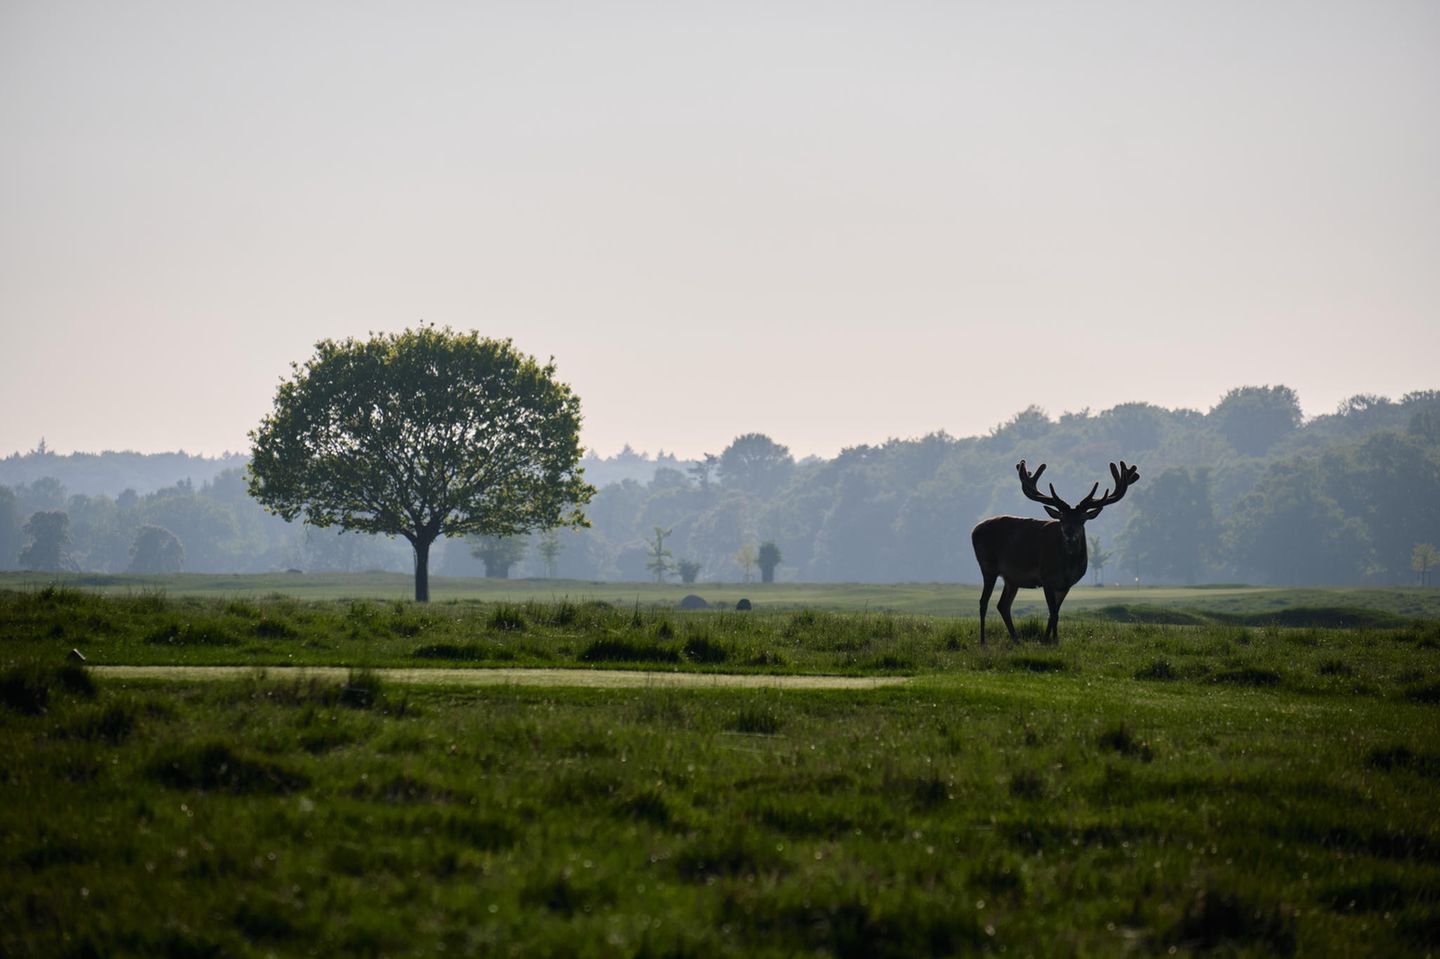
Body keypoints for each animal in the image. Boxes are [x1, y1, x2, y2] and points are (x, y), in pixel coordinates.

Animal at [972, 459, 1139, 643]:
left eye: (1082, 519)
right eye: (1062, 518)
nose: (1069, 532)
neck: (1067, 567)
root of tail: (974, 530)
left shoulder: (1066, 584)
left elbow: (1055, 614)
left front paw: (1050, 639)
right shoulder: (1046, 578)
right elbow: (1053, 613)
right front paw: (1051, 640)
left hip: (1011, 579)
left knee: (1003, 605)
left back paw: (1016, 640)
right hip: (988, 565)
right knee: (983, 602)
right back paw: (983, 642)